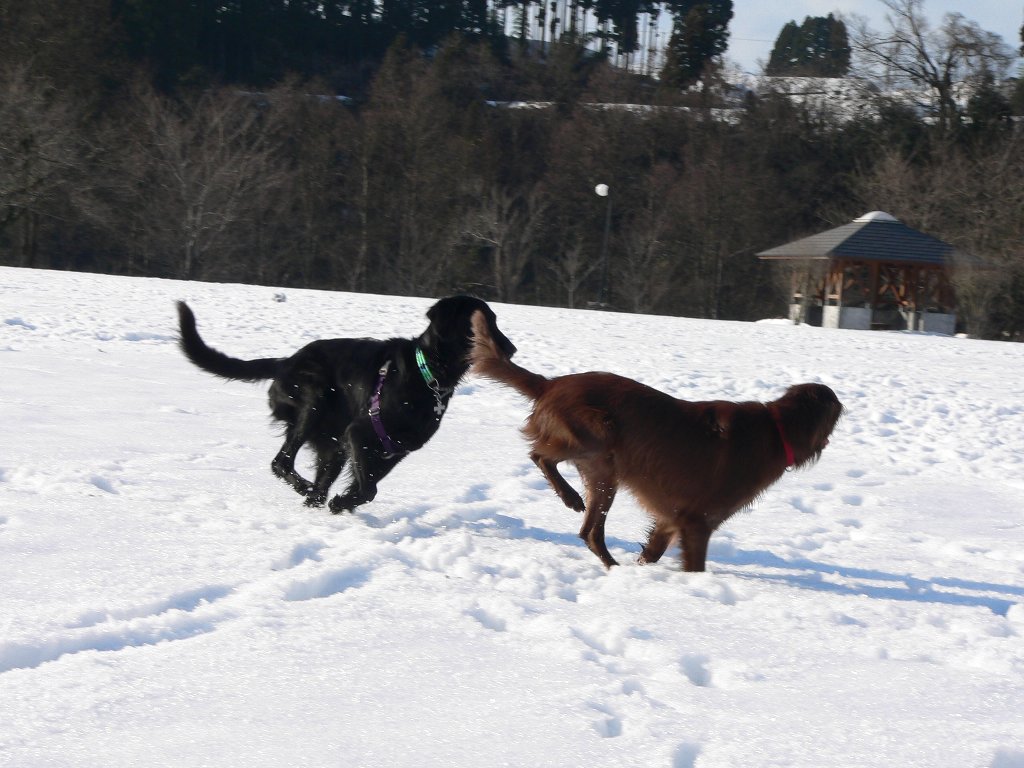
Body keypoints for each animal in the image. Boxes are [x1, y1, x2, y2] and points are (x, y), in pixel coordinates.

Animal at [177, 296, 516, 513]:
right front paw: (341, 503)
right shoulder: (361, 433)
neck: (428, 375)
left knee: (312, 480)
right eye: (483, 323)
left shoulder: (396, 449)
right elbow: (368, 489)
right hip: (313, 402)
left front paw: (341, 505)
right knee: (281, 462)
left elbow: (366, 487)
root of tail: (285, 362)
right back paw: (306, 488)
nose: (511, 349)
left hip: (333, 444)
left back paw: (314, 499)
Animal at [470, 313, 842, 571]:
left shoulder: (670, 520)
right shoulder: (697, 523)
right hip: (599, 436)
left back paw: (613, 567)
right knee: (541, 456)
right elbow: (694, 565)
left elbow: (652, 550)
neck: (776, 428)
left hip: (603, 473)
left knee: (589, 532)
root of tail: (551, 384)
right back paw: (570, 497)